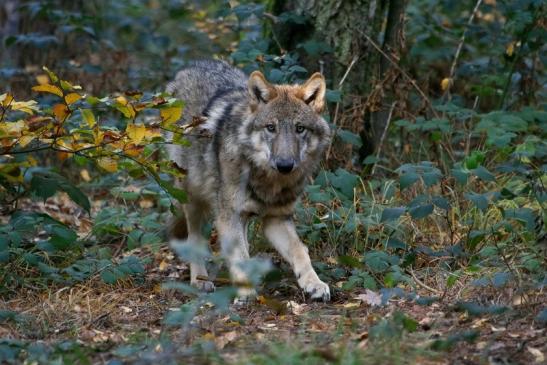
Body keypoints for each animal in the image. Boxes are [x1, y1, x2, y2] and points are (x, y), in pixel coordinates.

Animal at [166, 59, 330, 298]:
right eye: (271, 128)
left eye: (300, 128)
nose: (285, 165)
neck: (268, 180)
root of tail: (194, 65)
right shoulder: (228, 216)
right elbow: (240, 256)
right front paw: (246, 294)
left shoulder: (276, 218)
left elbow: (299, 250)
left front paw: (314, 283)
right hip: (192, 196)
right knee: (194, 238)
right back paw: (199, 279)